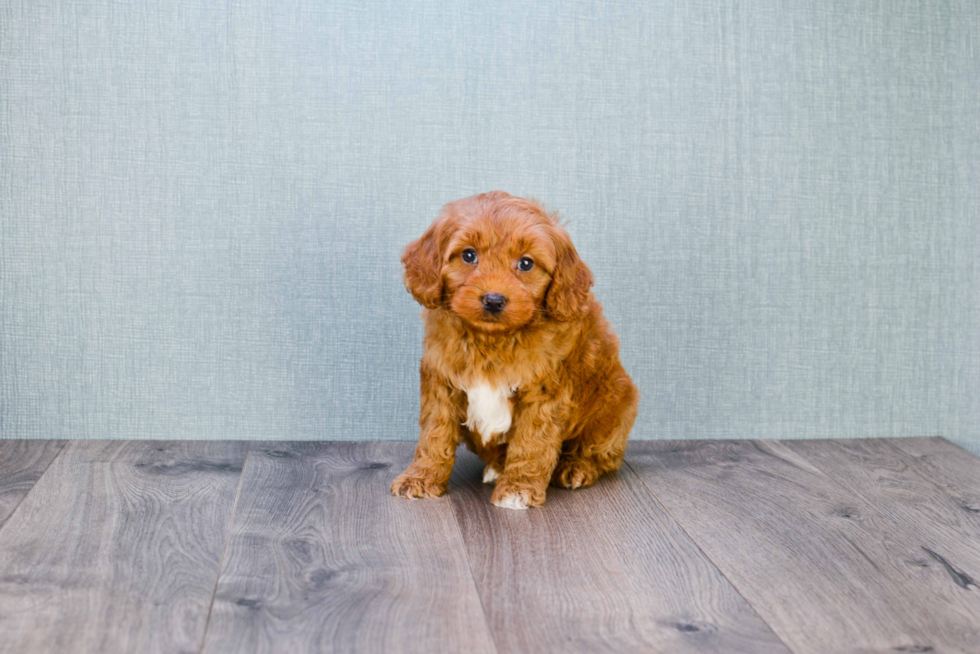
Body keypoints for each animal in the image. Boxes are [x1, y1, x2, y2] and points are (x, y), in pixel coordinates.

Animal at [390, 192, 644, 510]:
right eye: (469, 255)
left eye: (525, 263)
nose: (493, 300)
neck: (491, 340)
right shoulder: (441, 380)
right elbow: (434, 434)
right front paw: (421, 478)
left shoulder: (544, 392)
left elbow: (531, 442)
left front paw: (518, 489)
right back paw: (498, 467)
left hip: (616, 406)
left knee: (601, 453)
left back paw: (576, 467)